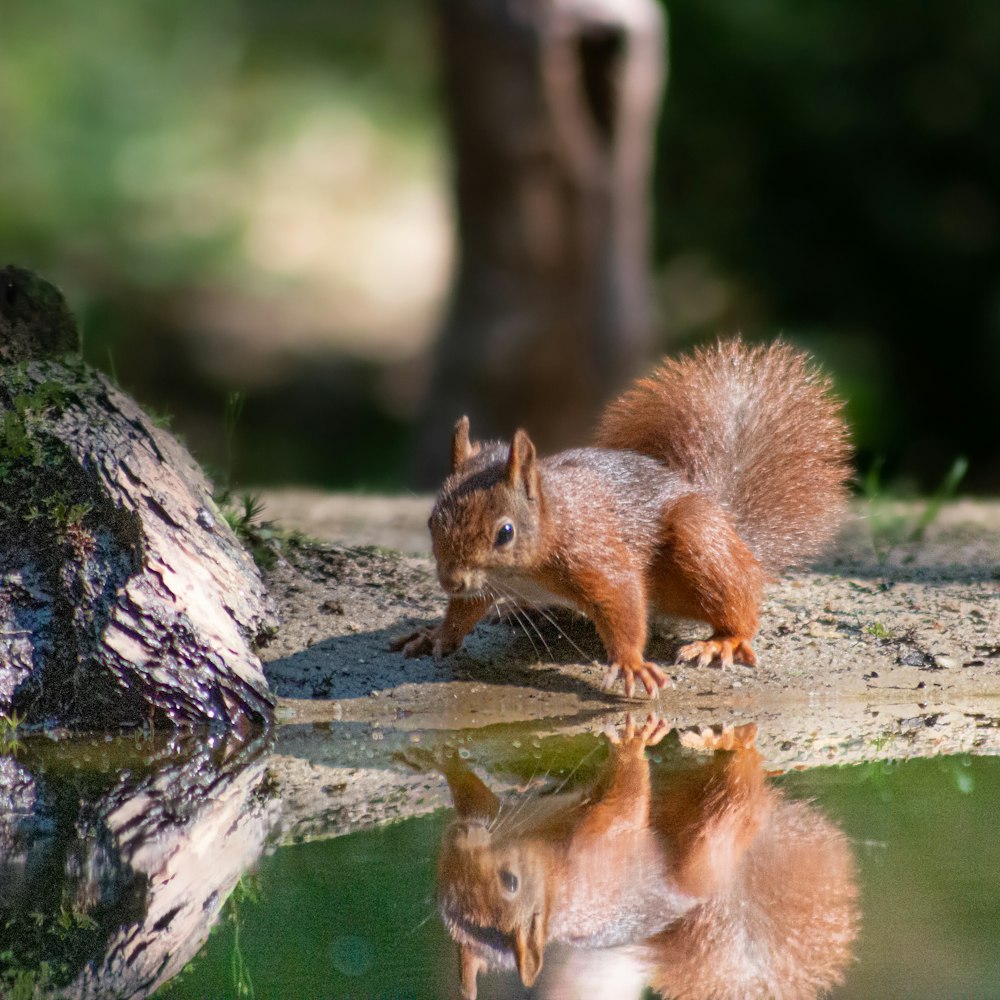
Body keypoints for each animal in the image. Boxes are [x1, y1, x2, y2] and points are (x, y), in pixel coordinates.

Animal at [394, 340, 848, 700]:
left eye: (505, 533)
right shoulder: (488, 582)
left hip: (700, 539)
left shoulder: (594, 554)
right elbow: (465, 609)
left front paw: (630, 662)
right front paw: (438, 635)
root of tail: (731, 526)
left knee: (740, 602)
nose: (451, 581)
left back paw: (723, 641)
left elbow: (622, 601)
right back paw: (526, 610)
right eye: (431, 522)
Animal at [434, 720, 856, 1000]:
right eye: (445, 891)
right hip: (711, 838)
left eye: (510, 881)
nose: (462, 835)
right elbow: (626, 796)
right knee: (738, 795)